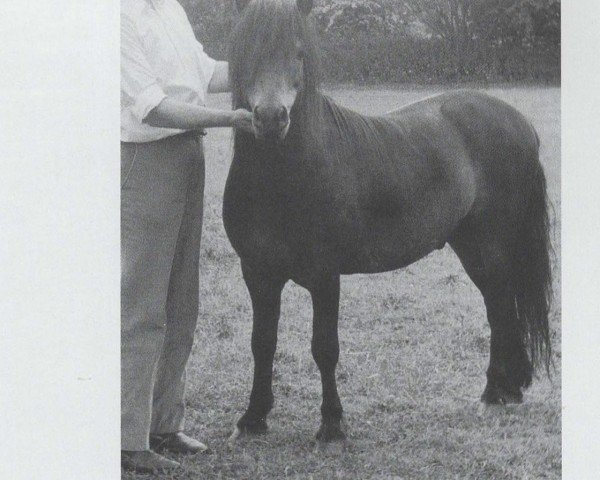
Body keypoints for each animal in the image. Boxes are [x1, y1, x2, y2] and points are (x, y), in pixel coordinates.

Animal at [223, 0, 552, 444]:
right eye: (248, 49)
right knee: (498, 306)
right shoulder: (257, 273)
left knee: (500, 307)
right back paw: (506, 390)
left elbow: (324, 347)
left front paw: (332, 425)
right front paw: (253, 418)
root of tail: (519, 120)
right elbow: (262, 343)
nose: (272, 118)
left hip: (492, 245)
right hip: (473, 246)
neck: (281, 181)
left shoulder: (325, 275)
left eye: (300, 53)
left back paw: (493, 394)